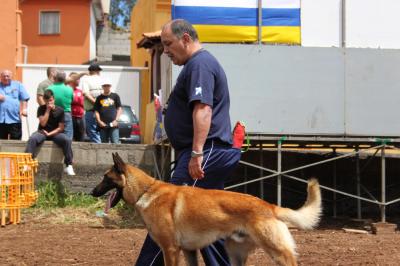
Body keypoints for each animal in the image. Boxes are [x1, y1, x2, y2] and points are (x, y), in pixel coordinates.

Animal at [90, 153, 322, 264]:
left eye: (105, 178)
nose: (92, 192)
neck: (146, 191)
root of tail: (269, 206)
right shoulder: (188, 251)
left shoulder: (170, 249)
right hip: (235, 254)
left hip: (276, 251)